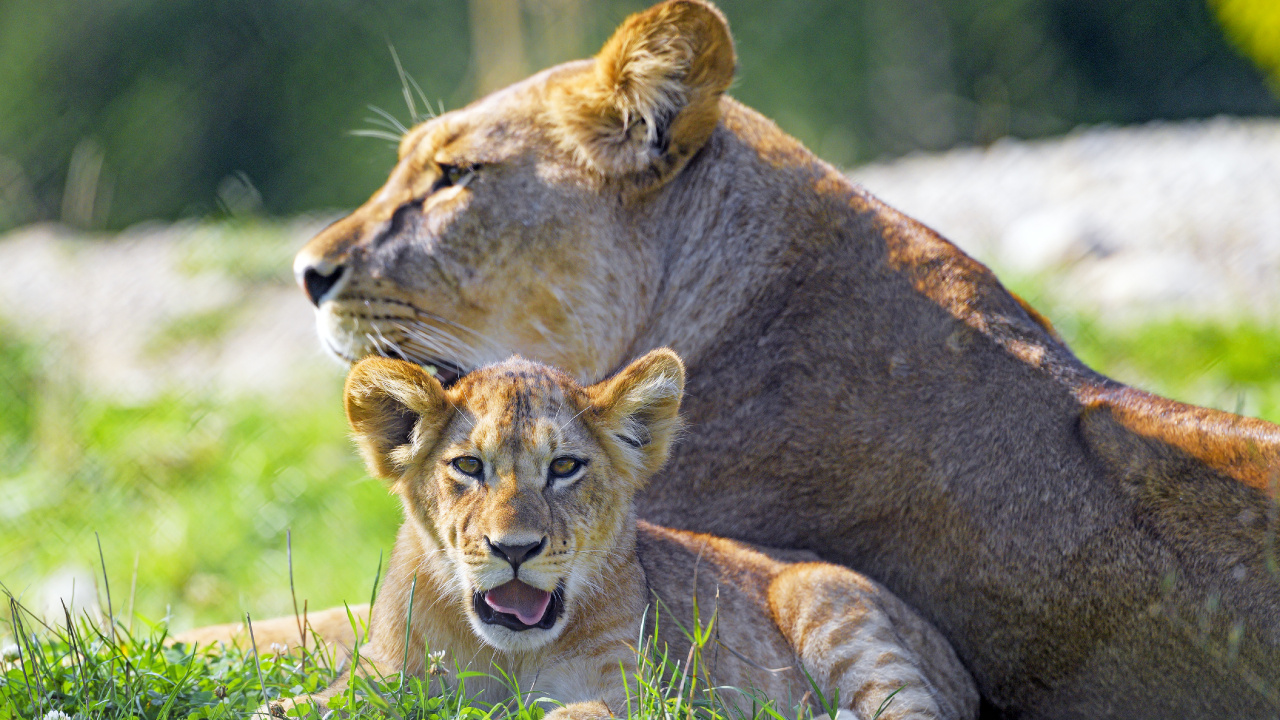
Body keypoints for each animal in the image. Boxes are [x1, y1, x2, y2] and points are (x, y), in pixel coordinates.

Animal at [268, 349, 977, 720]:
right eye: (468, 466)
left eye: (564, 468)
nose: (514, 551)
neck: (507, 654)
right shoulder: (389, 670)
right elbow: (328, 697)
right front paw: (283, 706)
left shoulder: (632, 692)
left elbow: (574, 714)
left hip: (824, 599)